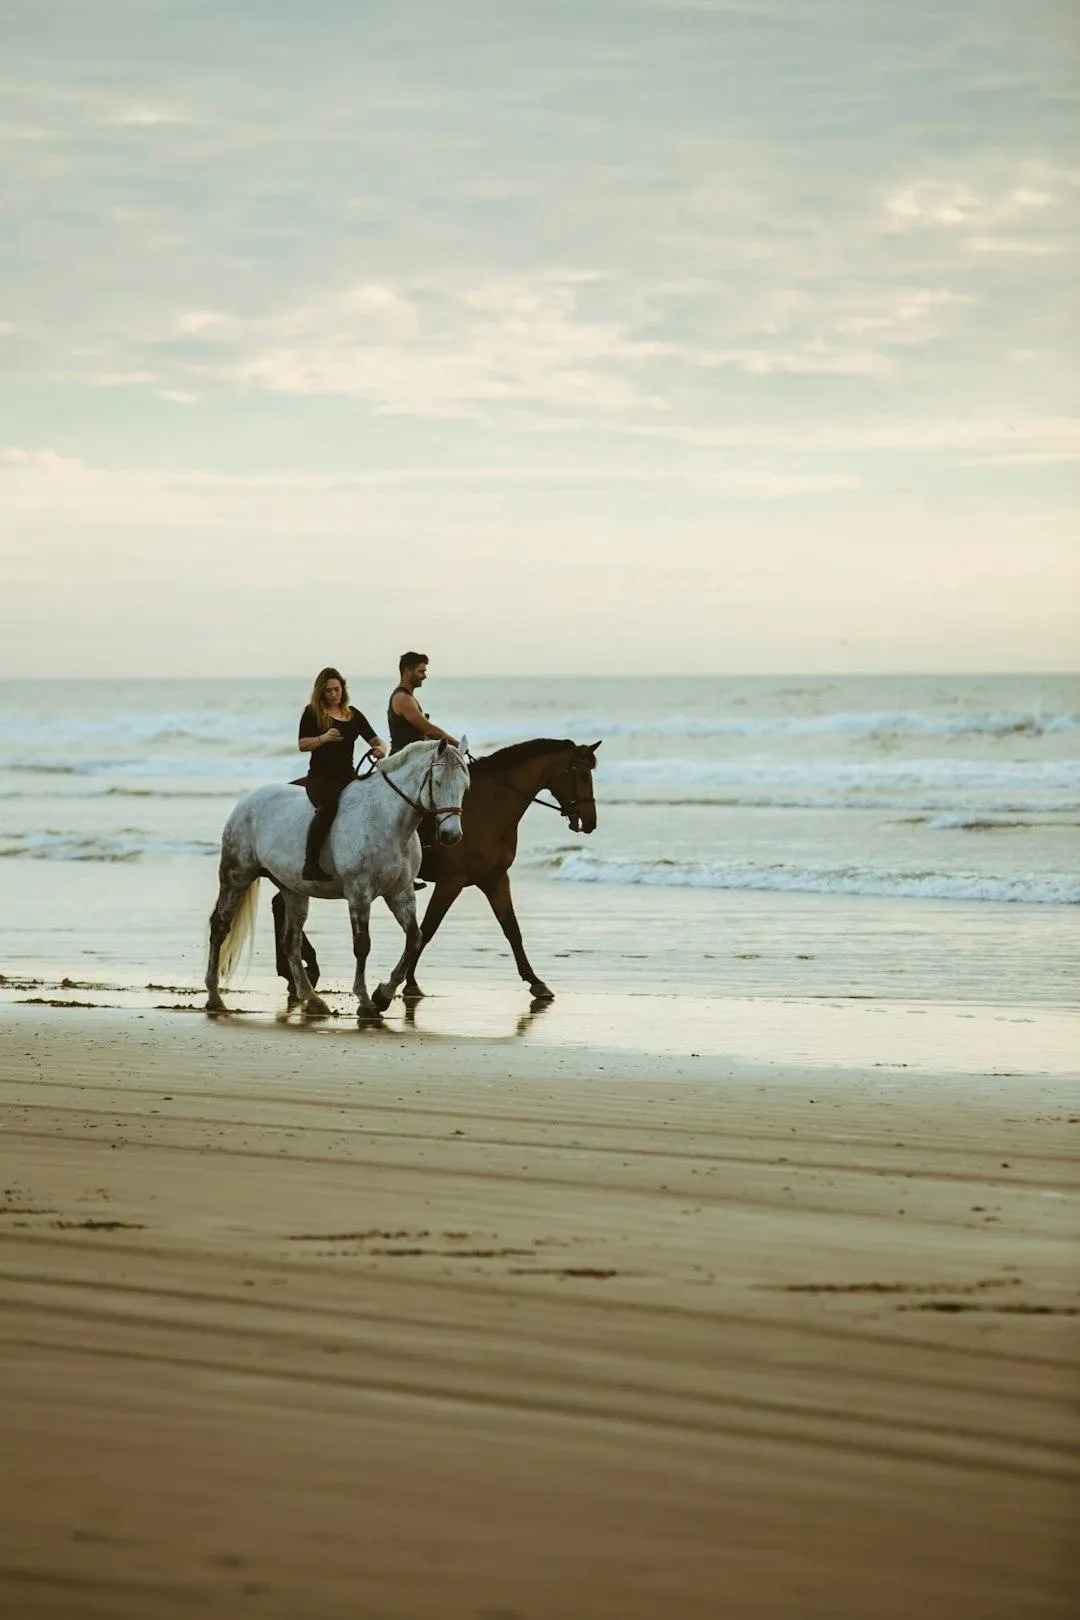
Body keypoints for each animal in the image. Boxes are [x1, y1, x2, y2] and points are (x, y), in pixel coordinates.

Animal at [204, 737, 470, 1020]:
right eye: (438, 782)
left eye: (465, 786)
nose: (451, 835)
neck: (386, 819)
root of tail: (246, 802)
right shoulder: (359, 893)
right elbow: (362, 945)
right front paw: (366, 1002)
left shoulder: (400, 893)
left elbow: (414, 939)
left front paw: (383, 995)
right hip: (236, 876)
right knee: (220, 927)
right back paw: (214, 997)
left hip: (293, 890)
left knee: (291, 942)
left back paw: (313, 1000)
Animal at [273, 737, 600, 1006]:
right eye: (582, 775)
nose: (590, 821)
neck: (490, 808)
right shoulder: (451, 881)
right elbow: (428, 929)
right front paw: (405, 984)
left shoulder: (495, 878)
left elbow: (512, 930)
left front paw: (536, 982)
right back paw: (300, 971)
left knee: (280, 904)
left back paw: (296, 972)